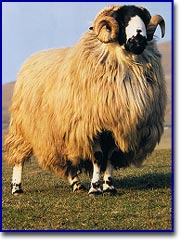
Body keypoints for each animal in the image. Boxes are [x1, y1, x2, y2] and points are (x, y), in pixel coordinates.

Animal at [3, 4, 167, 196]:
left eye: (143, 18)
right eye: (121, 20)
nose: (139, 41)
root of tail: (32, 58)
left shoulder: (116, 124)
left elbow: (110, 157)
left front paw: (109, 187)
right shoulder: (92, 127)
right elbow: (98, 157)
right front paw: (95, 188)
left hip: (62, 133)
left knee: (68, 161)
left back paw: (77, 185)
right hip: (23, 128)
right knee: (18, 157)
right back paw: (17, 187)